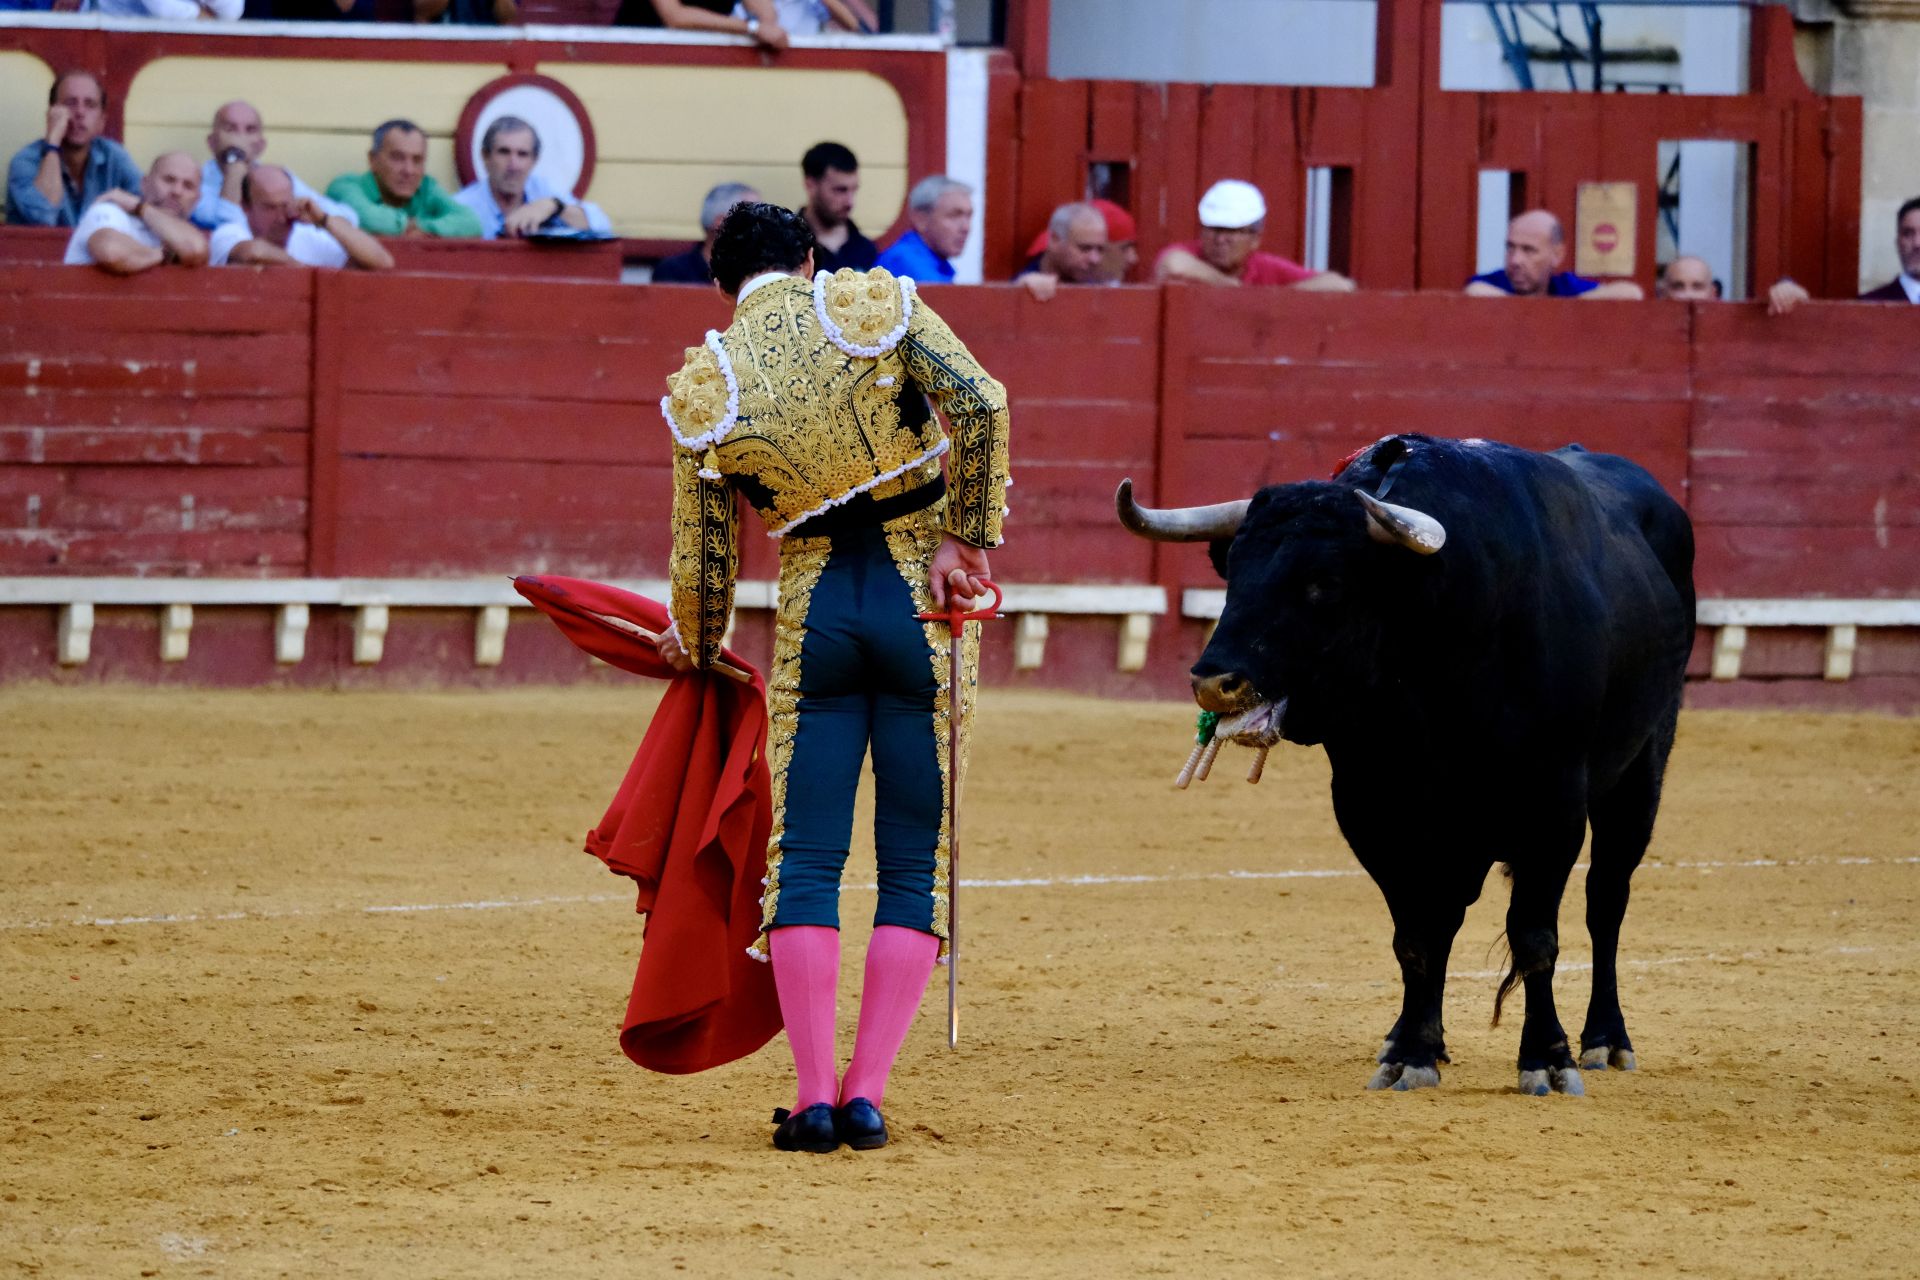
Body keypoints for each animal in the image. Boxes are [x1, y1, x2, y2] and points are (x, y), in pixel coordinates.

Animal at [1121, 435, 1697, 1097]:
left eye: (1325, 581)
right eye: (1233, 571)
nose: (1215, 682)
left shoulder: (1553, 805)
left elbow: (1535, 937)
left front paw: (1548, 1060)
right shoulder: (1371, 807)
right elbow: (1417, 937)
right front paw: (1412, 1052)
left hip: (1642, 767)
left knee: (1606, 899)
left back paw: (1607, 1040)